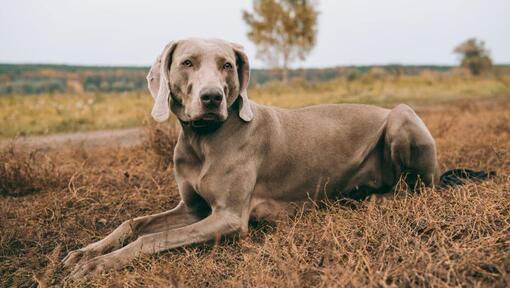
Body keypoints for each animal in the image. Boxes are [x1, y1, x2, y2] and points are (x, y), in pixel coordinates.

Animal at [61, 37, 488, 280]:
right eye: (187, 63)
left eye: (227, 65)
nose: (212, 98)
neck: (204, 141)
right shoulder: (194, 209)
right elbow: (133, 224)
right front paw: (85, 252)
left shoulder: (228, 217)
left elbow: (153, 238)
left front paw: (98, 265)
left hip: (401, 116)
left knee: (418, 189)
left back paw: (375, 199)